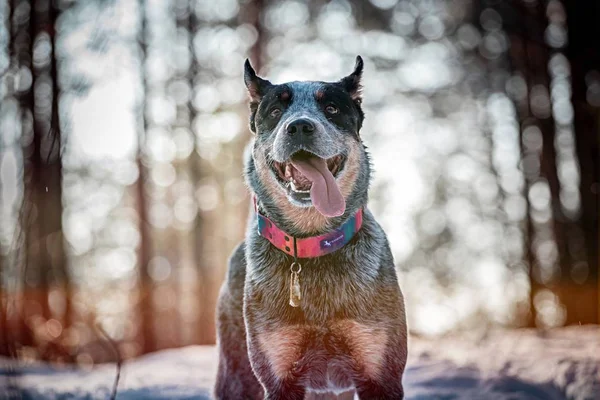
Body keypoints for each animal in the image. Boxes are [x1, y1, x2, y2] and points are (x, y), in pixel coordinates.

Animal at [212, 54, 408, 398]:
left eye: (331, 108)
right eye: (275, 111)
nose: (300, 126)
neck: (312, 244)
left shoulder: (381, 373)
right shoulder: (279, 377)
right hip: (236, 373)